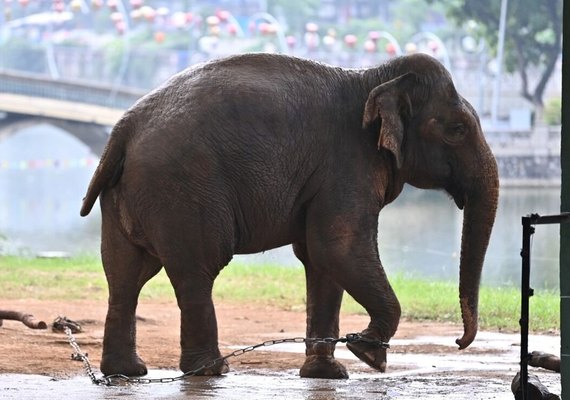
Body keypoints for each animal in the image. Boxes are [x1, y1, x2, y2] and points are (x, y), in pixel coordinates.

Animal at [80, 51, 496, 380]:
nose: (459, 341)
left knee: (125, 275)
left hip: (126, 194)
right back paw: (212, 370)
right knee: (198, 270)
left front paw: (328, 373)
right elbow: (338, 247)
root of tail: (124, 127)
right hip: (183, 189)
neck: (374, 77)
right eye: (457, 129)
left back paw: (127, 372)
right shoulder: (347, 165)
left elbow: (321, 259)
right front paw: (368, 354)